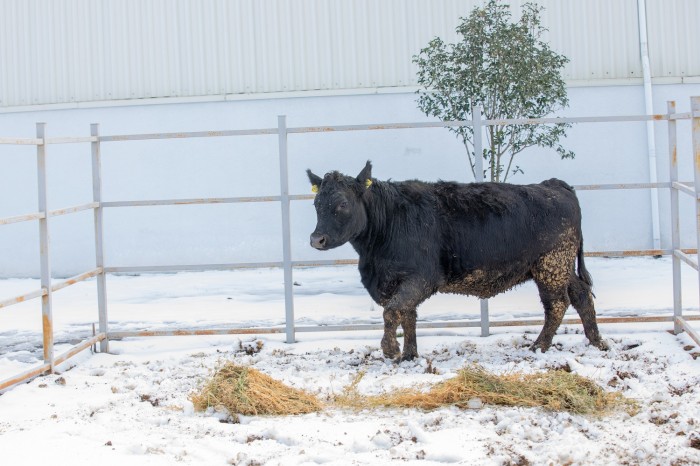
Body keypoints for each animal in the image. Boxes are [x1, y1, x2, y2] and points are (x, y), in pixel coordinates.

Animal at [306, 162, 608, 362]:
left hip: (551, 266)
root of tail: (553, 185)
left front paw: (391, 350)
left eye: (343, 203)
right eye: (316, 203)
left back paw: (538, 348)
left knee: (557, 304)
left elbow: (393, 312)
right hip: (561, 266)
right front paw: (410, 355)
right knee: (581, 295)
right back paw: (597, 343)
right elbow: (407, 315)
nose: (316, 239)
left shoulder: (420, 278)